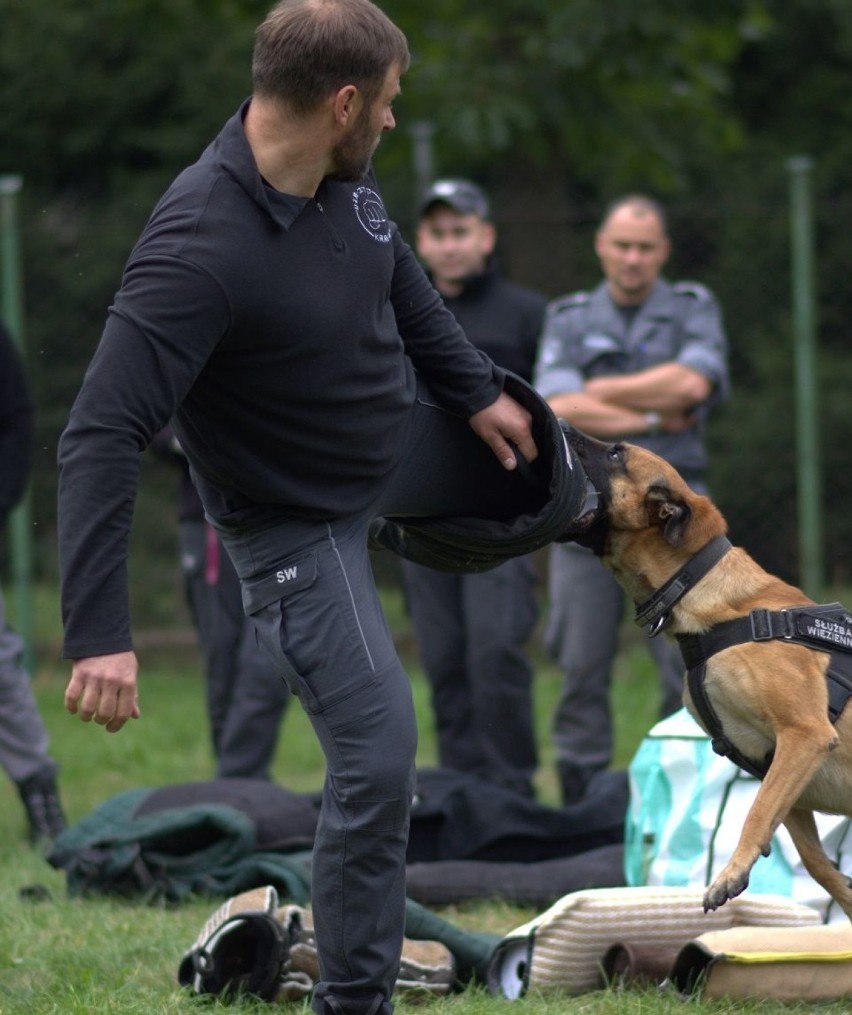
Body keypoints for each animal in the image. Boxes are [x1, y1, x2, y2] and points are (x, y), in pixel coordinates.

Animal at [564, 432, 852, 925]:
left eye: (616, 453)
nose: (561, 423)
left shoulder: (805, 734)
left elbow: (756, 813)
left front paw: (728, 875)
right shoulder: (780, 760)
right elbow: (813, 859)